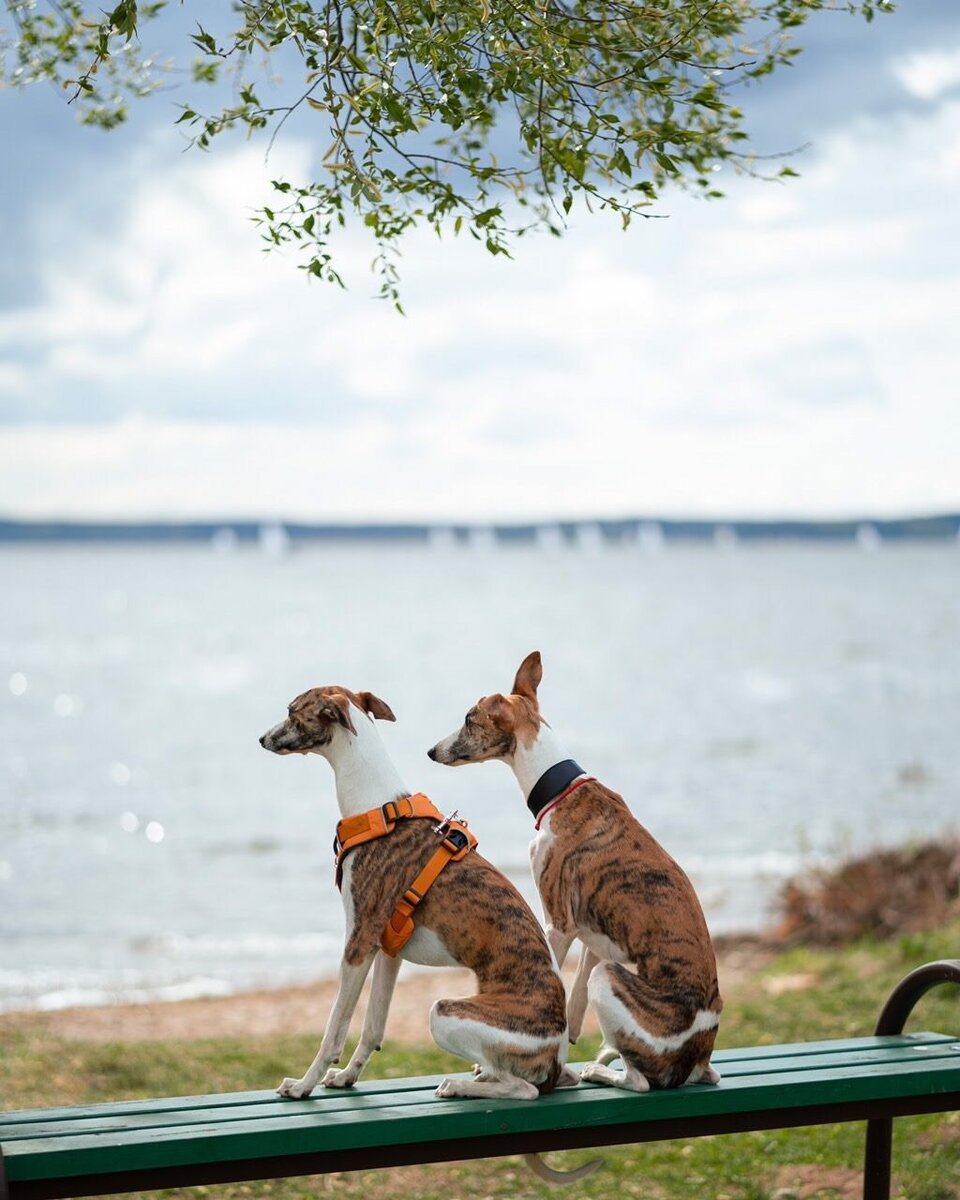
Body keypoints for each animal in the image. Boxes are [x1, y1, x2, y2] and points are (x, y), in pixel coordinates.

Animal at [256, 686, 578, 1104]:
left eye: (292, 711)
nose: (261, 739)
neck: (377, 809)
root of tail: (555, 1056)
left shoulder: (358, 944)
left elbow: (333, 1030)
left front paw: (302, 1085)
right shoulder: (388, 952)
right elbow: (373, 1027)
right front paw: (346, 1077)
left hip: (443, 1013)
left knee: (522, 1087)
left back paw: (458, 1085)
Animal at [427, 652, 720, 1094]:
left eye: (468, 718)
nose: (431, 751)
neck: (559, 791)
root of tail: (699, 1055)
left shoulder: (559, 923)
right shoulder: (592, 936)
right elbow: (572, 1005)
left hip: (609, 977)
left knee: (640, 1081)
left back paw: (599, 1071)